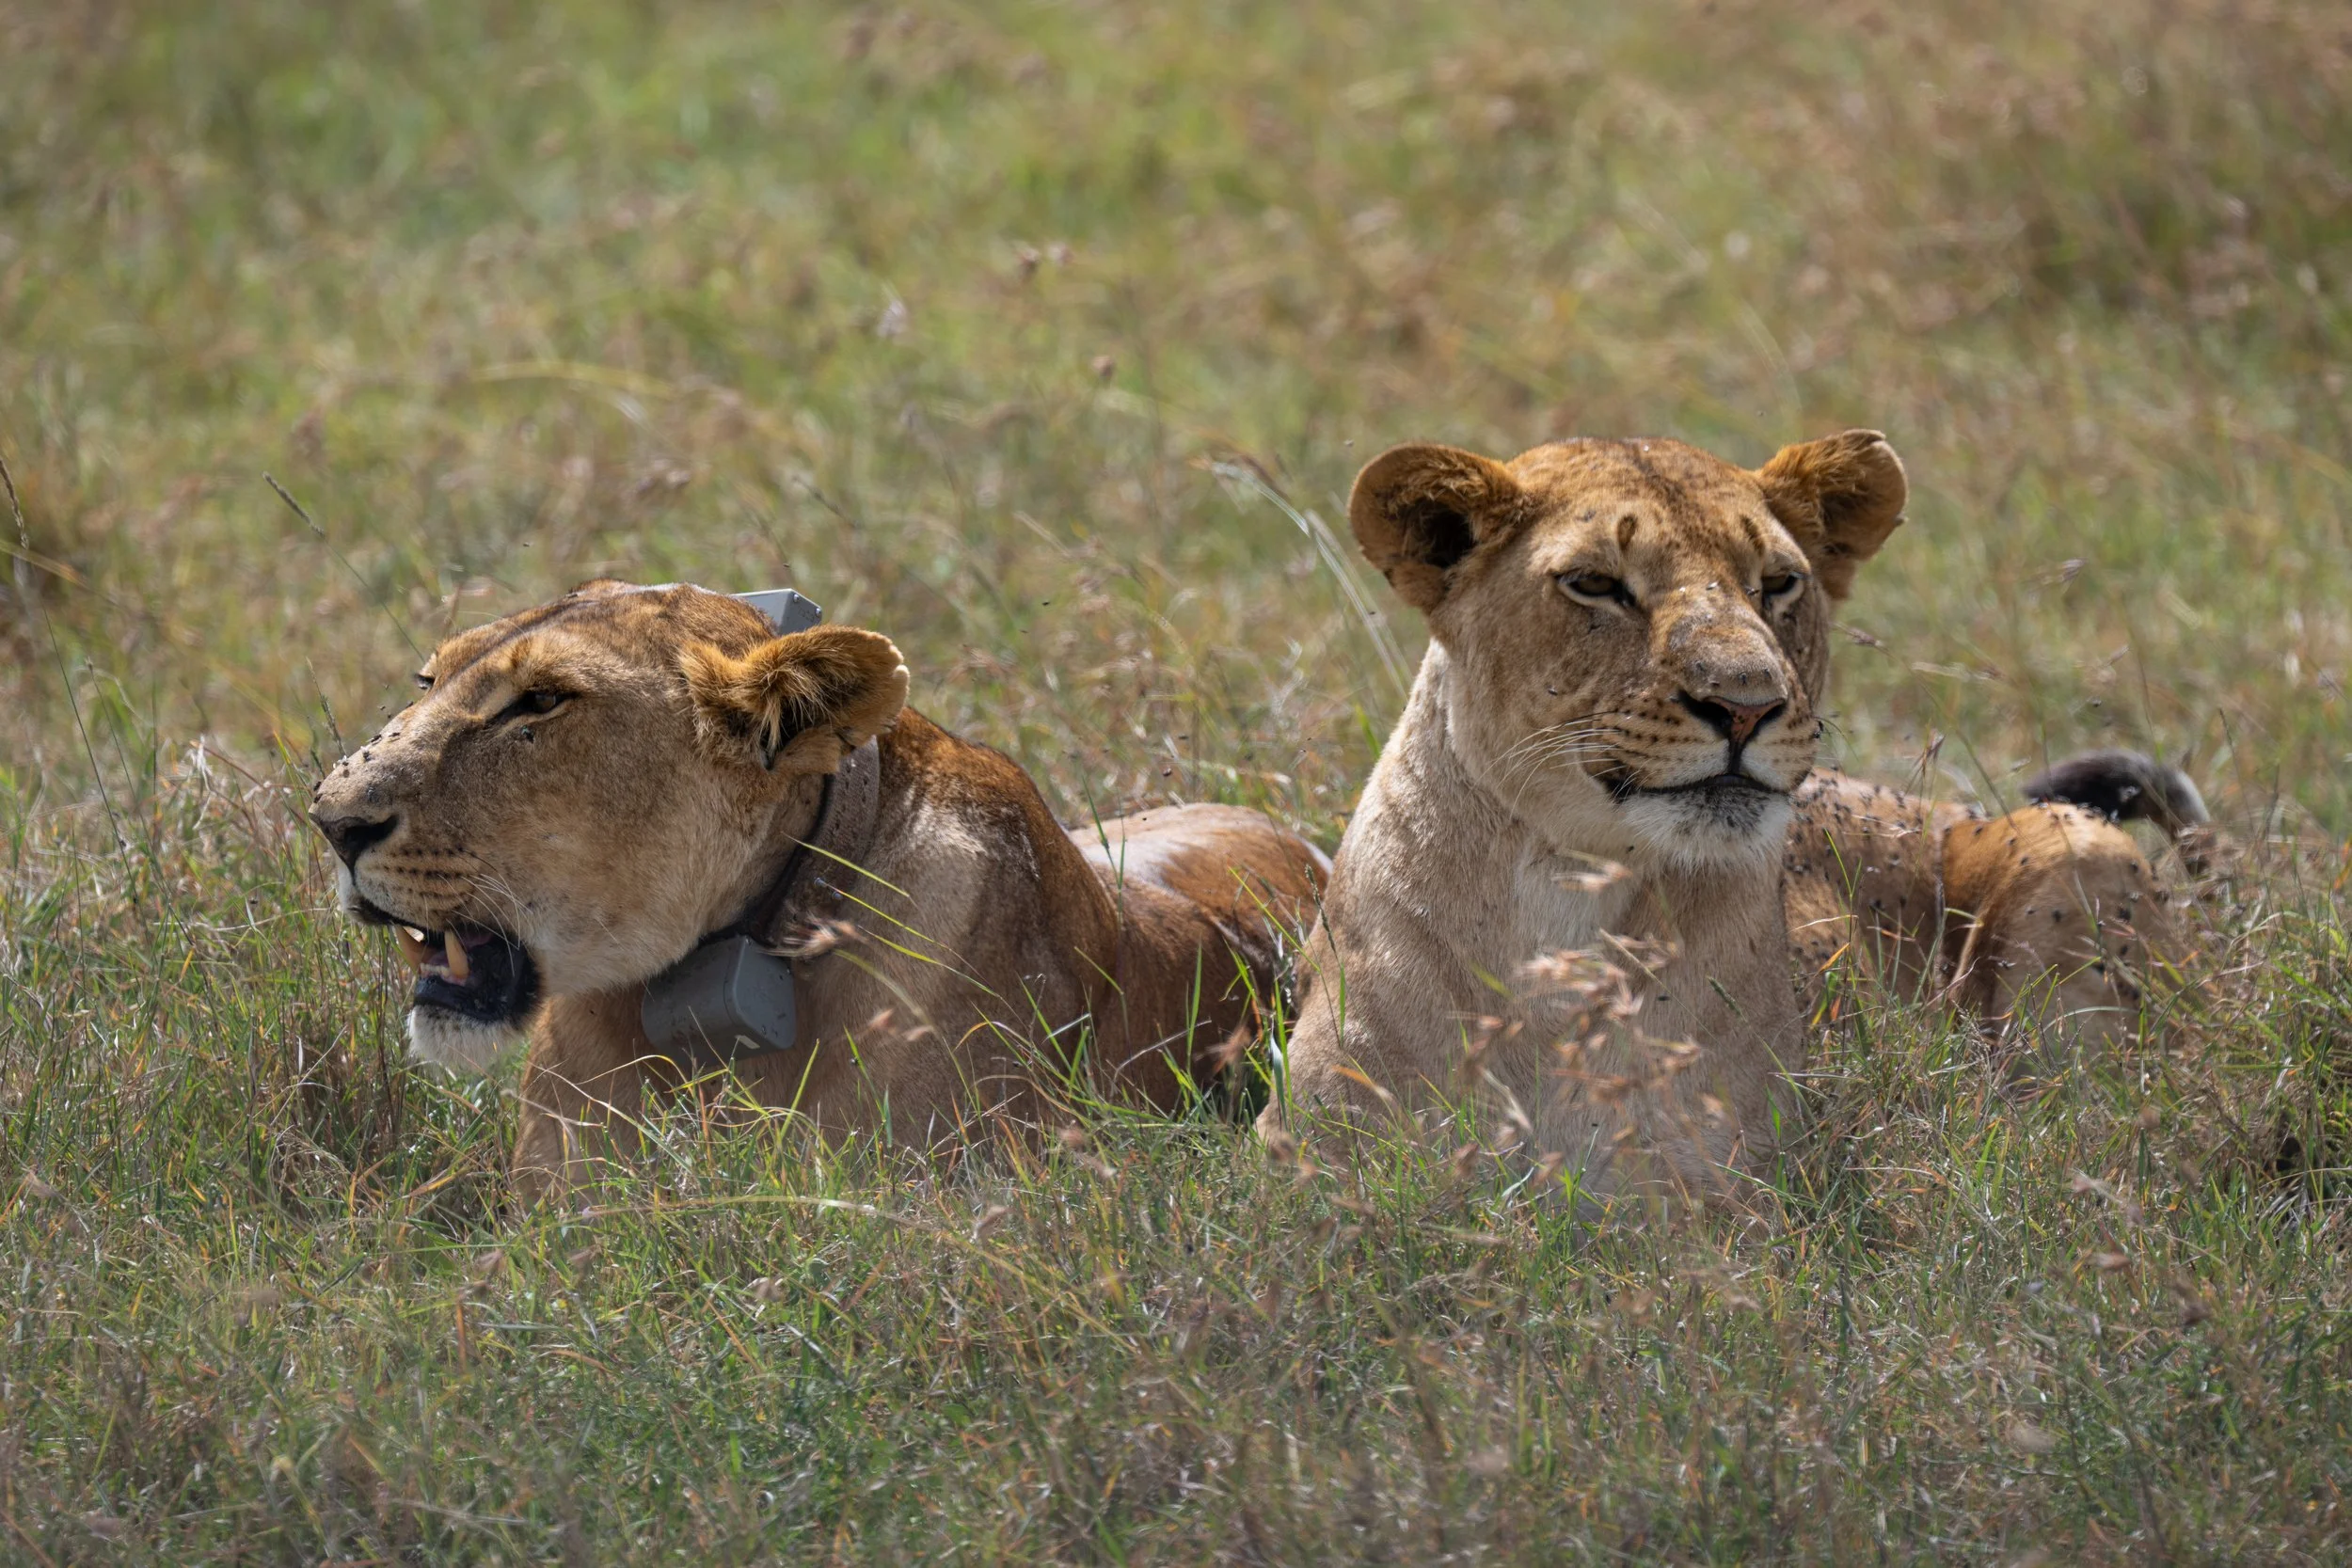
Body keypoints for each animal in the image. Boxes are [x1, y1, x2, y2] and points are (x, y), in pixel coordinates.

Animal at [1263, 430, 2189, 1196]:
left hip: (2074, 857)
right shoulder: (1311, 1170)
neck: (1564, 886)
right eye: (1594, 584)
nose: (1746, 704)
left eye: (1777, 583)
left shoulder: (1740, 1191)